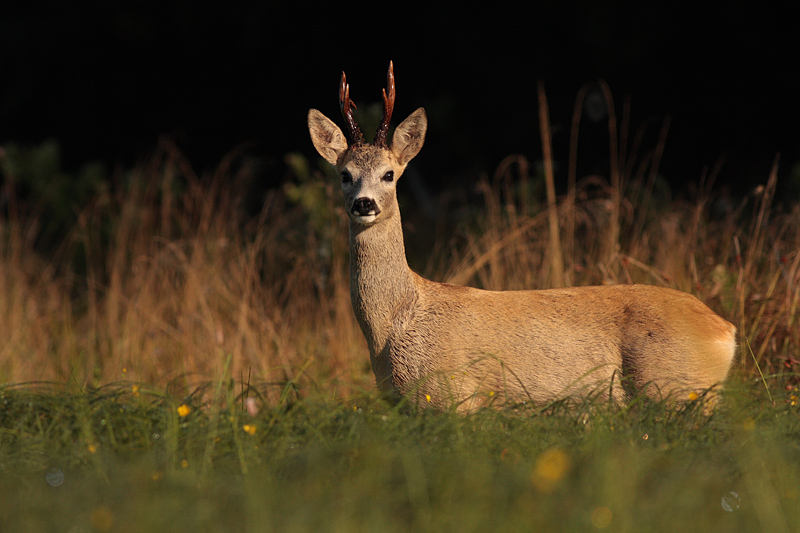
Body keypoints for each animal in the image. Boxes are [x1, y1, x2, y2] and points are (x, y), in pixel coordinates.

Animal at [306, 63, 736, 412]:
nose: (363, 203)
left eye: (389, 174)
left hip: (676, 390)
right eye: (344, 174)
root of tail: (725, 330)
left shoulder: (457, 398)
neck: (397, 322)